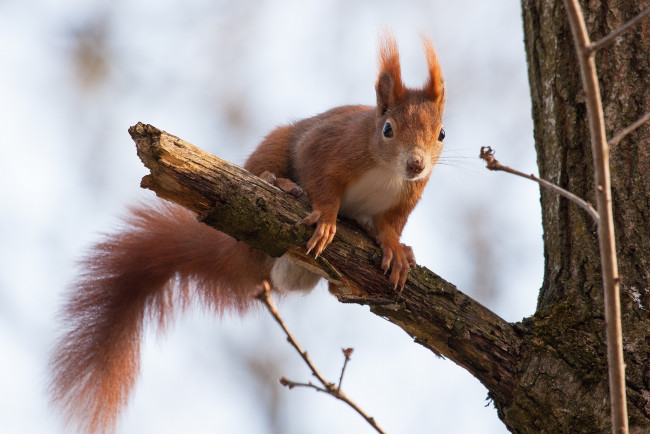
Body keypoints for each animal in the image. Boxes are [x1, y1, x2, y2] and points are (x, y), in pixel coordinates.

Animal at [49, 34, 446, 434]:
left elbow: (390, 226)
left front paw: (395, 248)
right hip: (275, 145)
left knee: (338, 289)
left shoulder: (406, 198)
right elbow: (321, 180)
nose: (416, 164)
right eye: (387, 129)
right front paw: (327, 219)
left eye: (442, 133)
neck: (388, 172)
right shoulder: (331, 146)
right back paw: (281, 184)